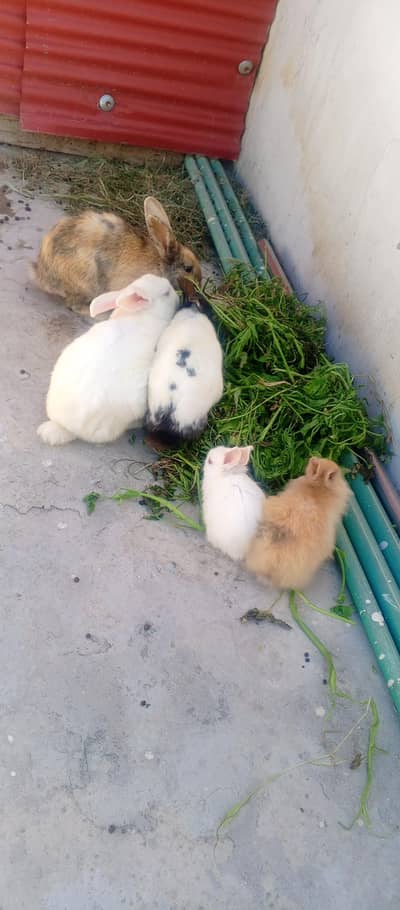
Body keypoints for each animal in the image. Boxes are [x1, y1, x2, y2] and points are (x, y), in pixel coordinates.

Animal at [31, 197, 201, 316]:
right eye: (188, 268)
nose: (197, 290)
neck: (162, 264)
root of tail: (41, 274)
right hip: (87, 283)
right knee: (74, 305)